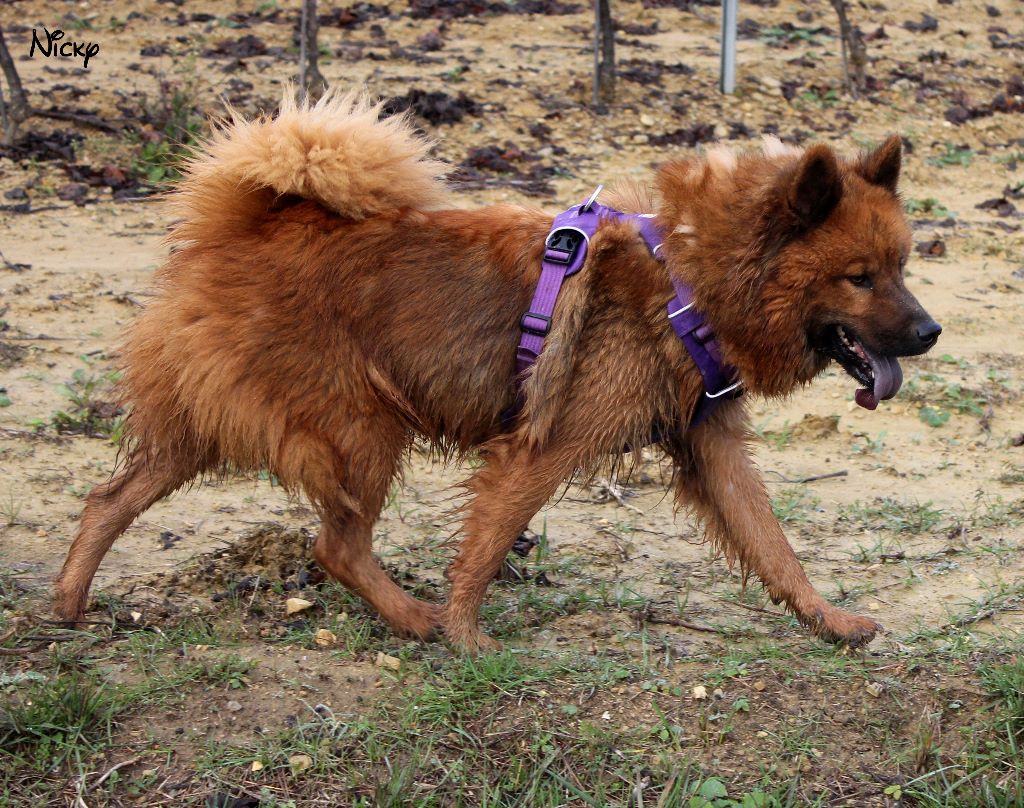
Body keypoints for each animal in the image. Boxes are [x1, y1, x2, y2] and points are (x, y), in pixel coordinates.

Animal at [51, 91, 937, 651]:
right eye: (860, 277)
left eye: (902, 266)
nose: (929, 332)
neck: (688, 279)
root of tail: (240, 225)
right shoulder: (544, 446)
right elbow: (488, 542)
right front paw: (470, 636)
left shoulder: (711, 444)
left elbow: (775, 547)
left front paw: (827, 622)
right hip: (362, 428)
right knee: (336, 545)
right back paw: (418, 621)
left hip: (218, 428)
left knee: (112, 498)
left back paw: (68, 603)